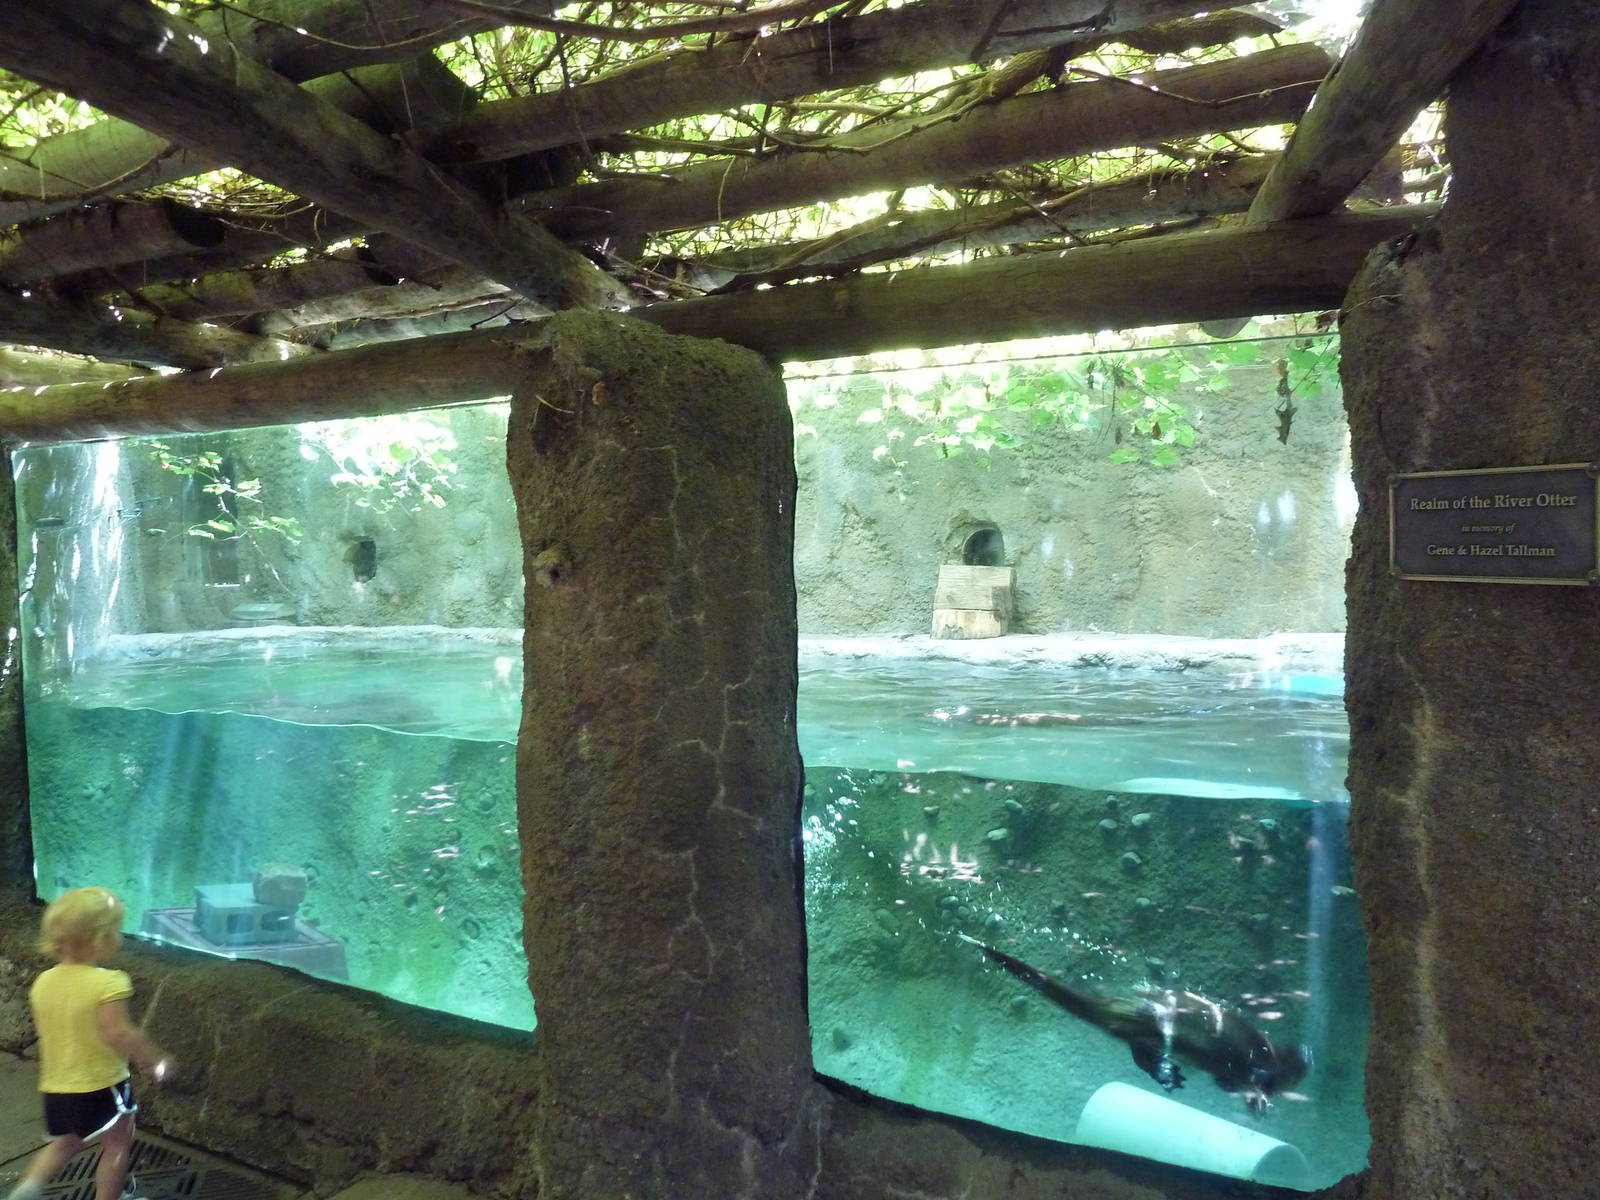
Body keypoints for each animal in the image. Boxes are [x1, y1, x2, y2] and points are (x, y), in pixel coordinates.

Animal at [962, 936, 1311, 1114]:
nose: (1307, 1055)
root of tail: (1109, 1007)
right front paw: (1259, 1101)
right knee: (1140, 1048)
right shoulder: (1253, 1060)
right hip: (1153, 1027)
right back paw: (1167, 1074)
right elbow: (1254, 1079)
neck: (1272, 1056)